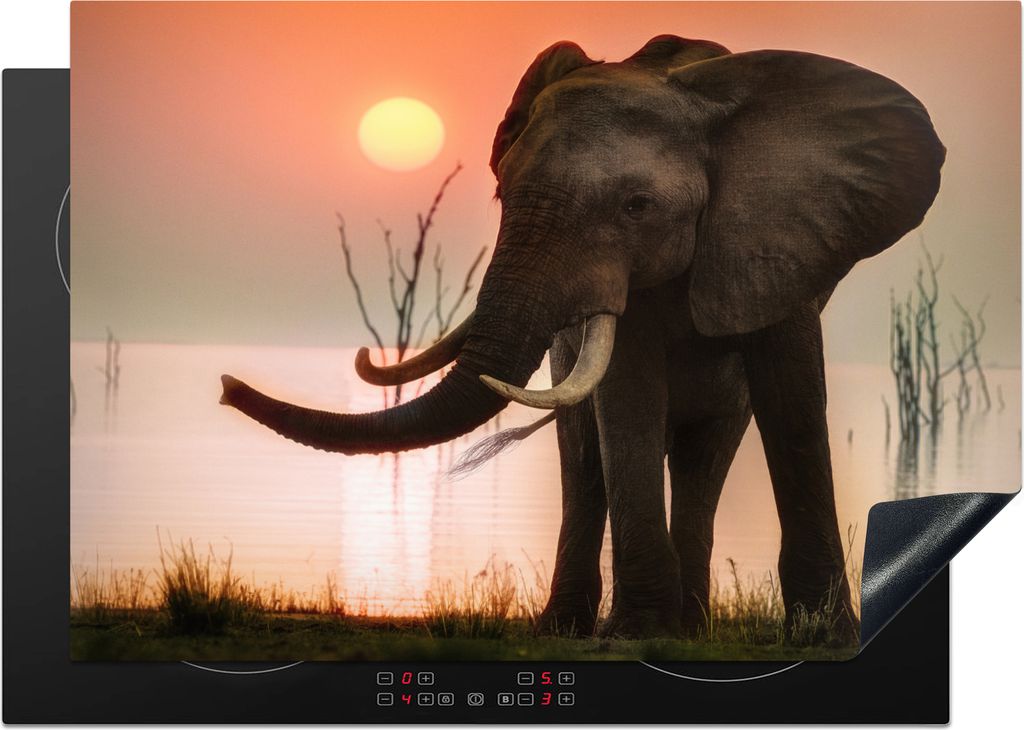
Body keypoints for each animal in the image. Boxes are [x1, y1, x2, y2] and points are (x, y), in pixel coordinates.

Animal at [220, 35, 944, 640]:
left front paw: (824, 637)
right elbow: (626, 400)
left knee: (705, 455)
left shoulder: (782, 243)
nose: (226, 386)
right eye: (502, 195)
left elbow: (792, 403)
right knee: (586, 454)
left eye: (638, 207)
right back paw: (578, 629)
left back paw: (689, 628)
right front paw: (638, 633)